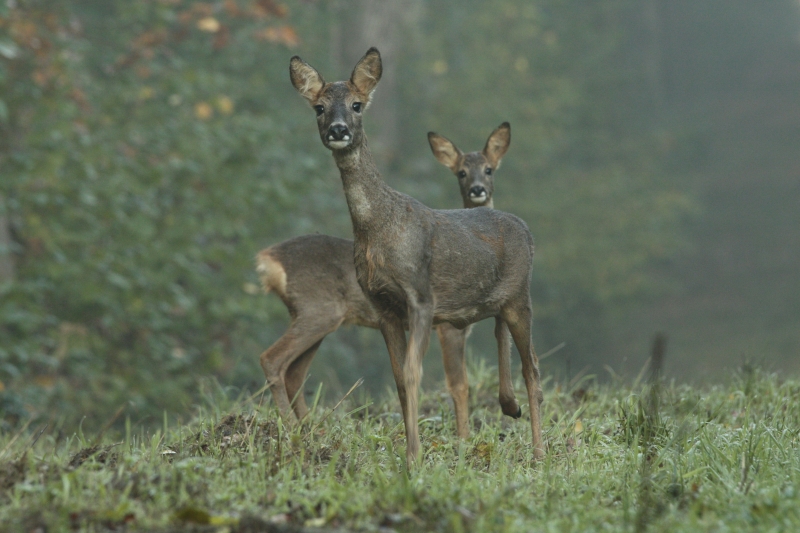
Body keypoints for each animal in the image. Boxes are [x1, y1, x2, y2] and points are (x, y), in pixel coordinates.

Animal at [260, 121, 516, 440]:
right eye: (461, 172)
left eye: (489, 169)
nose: (477, 189)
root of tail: (269, 259)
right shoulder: (448, 326)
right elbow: (459, 386)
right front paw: (463, 439)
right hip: (317, 309)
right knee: (272, 359)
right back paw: (293, 428)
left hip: (314, 316)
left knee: (294, 372)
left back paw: (311, 430)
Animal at [290, 47, 544, 464]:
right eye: (319, 107)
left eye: (357, 104)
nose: (338, 130)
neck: (377, 229)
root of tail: (525, 228)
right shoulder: (383, 306)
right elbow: (399, 378)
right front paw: (411, 453)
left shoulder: (422, 297)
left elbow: (413, 374)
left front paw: (414, 456)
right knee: (504, 340)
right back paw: (511, 408)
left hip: (521, 297)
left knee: (533, 369)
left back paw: (539, 451)